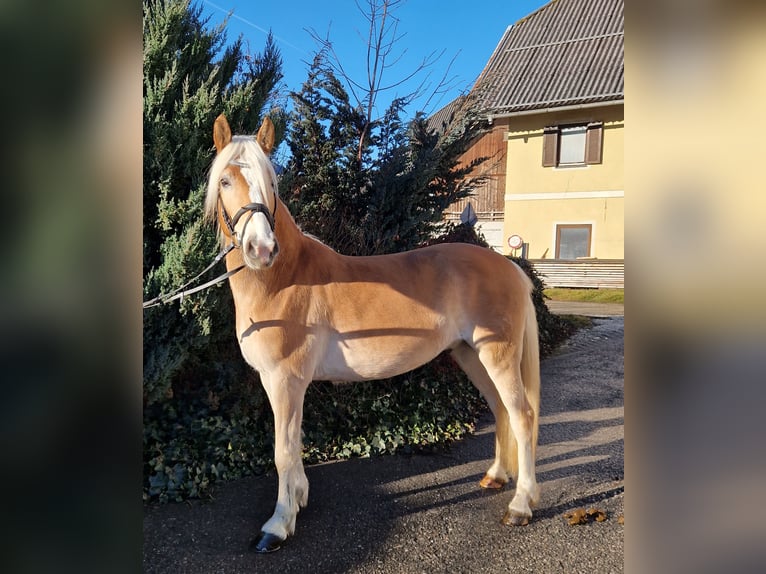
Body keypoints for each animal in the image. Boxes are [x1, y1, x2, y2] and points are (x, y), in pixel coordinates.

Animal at [206, 114, 541, 553]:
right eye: (226, 181)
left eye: (272, 183)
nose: (261, 249)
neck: (283, 279)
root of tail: (511, 266)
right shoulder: (284, 383)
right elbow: (295, 444)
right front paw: (299, 498)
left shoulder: (284, 380)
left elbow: (282, 451)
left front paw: (278, 525)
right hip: (471, 355)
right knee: (501, 410)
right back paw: (496, 477)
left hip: (498, 357)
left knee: (522, 415)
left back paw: (521, 504)